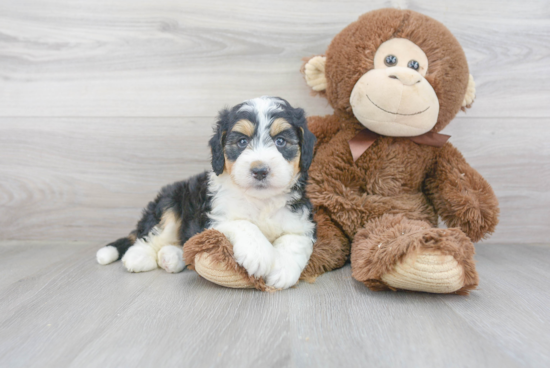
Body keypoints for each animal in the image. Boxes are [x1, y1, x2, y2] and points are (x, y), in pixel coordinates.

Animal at [97, 97, 316, 290]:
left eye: (281, 141)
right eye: (242, 142)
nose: (260, 170)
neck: (260, 201)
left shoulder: (302, 220)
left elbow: (295, 240)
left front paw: (283, 270)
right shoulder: (212, 218)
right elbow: (242, 224)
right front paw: (259, 254)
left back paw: (170, 257)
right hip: (172, 201)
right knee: (152, 234)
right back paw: (138, 257)